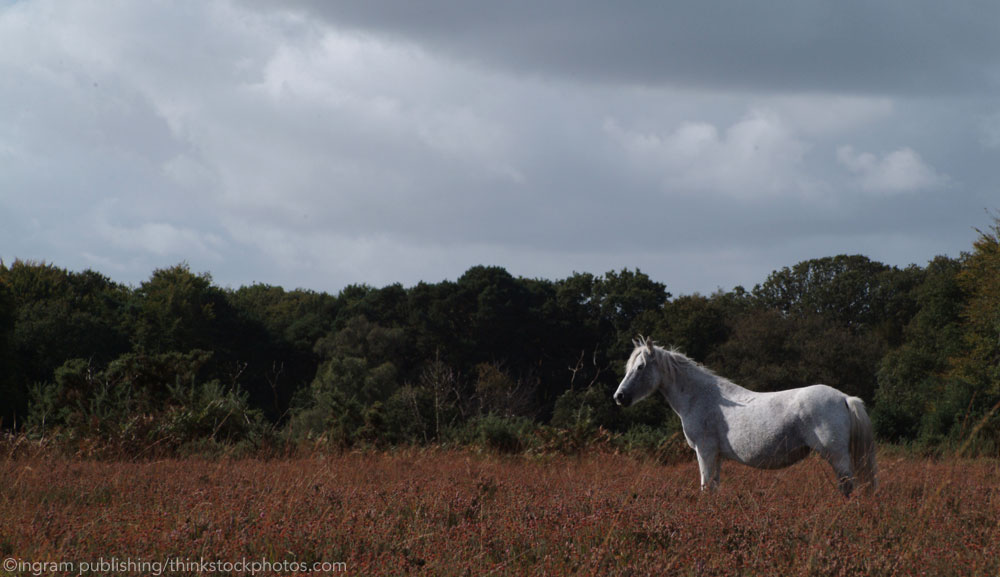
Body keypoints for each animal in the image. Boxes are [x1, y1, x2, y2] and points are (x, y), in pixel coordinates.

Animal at [612, 338, 880, 496]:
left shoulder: (705, 451)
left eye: (640, 367)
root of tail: (844, 398)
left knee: (847, 486)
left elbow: (706, 487)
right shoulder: (716, 456)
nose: (619, 397)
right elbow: (714, 487)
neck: (702, 396)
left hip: (836, 455)